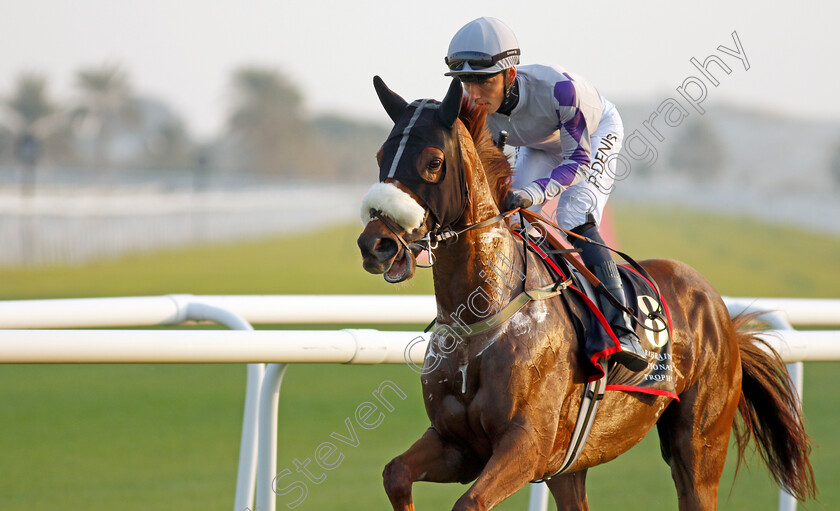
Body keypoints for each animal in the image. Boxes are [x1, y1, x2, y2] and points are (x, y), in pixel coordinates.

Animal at [354, 77, 812, 511]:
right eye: (379, 157)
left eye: (433, 162)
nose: (375, 245)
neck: (483, 312)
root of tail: (718, 308)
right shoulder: (458, 444)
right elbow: (395, 474)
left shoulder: (526, 445)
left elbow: (469, 502)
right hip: (569, 466)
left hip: (699, 446)